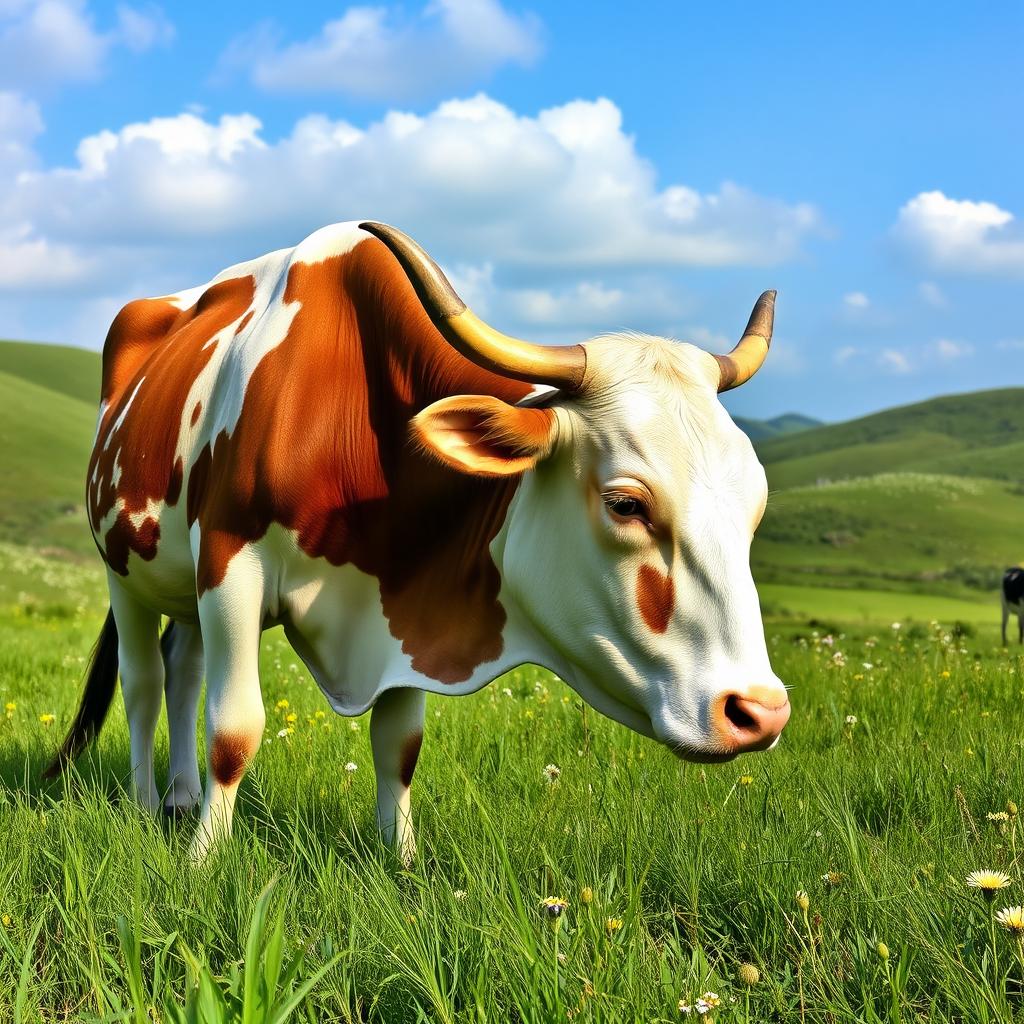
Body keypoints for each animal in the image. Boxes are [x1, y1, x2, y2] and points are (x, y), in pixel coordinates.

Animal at [48, 222, 790, 864]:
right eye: (626, 503)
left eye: (756, 504)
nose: (760, 711)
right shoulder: (232, 563)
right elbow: (234, 728)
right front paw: (204, 859)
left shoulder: (404, 605)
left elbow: (398, 745)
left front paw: (400, 860)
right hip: (126, 568)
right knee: (145, 680)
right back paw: (149, 806)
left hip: (182, 585)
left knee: (183, 667)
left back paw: (180, 799)